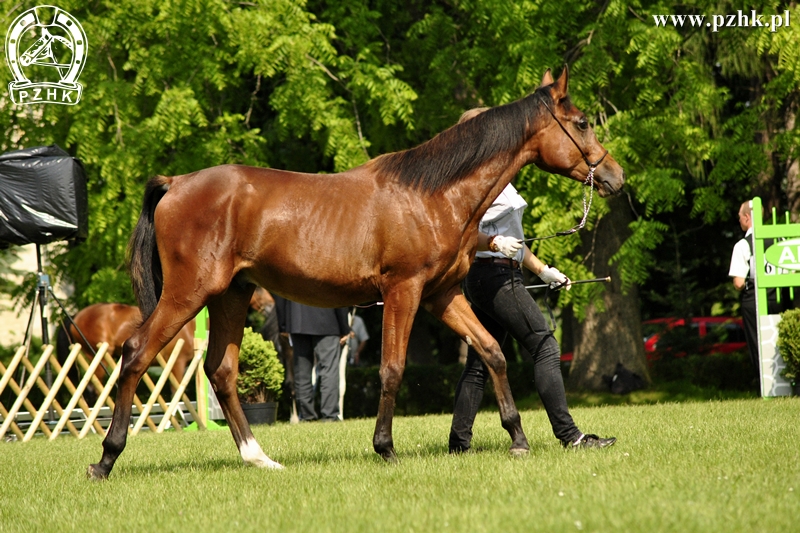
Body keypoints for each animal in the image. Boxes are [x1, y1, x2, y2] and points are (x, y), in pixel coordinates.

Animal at [86, 65, 624, 478]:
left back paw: (260, 459)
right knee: (136, 353)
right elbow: (392, 368)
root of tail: (176, 182)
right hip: (188, 294)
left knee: (221, 370)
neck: (431, 194)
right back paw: (106, 460)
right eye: (580, 122)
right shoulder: (404, 291)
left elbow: (491, 351)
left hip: (230, 296)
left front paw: (517, 437)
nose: (614, 176)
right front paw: (385, 448)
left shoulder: (443, 296)